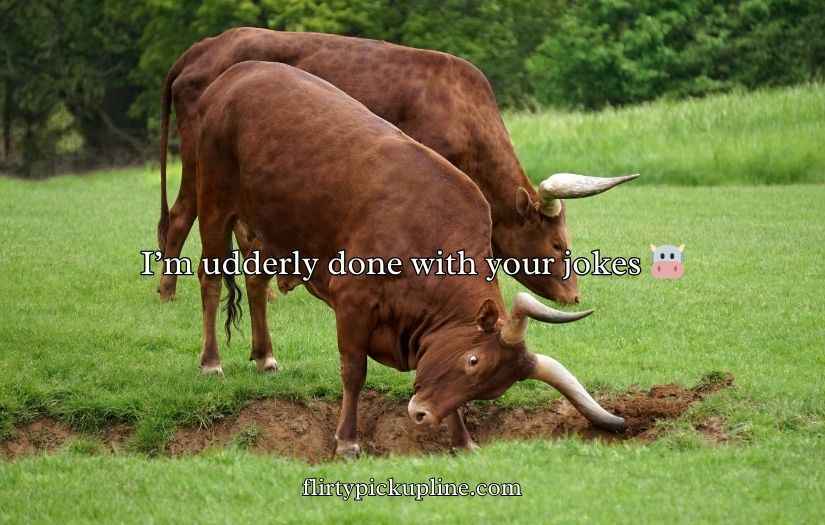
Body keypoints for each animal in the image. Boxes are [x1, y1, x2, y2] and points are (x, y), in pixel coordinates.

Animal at [158, 27, 637, 306]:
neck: (462, 111)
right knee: (180, 217)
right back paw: (167, 291)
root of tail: (203, 48)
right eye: (558, 245)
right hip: (203, 161)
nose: (573, 296)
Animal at [194, 61, 625, 457]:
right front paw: (347, 441)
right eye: (472, 361)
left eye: (488, 388)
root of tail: (238, 73)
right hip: (213, 202)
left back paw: (264, 356)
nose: (421, 414)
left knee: (254, 280)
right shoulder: (353, 303)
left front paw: (462, 439)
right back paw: (211, 362)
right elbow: (354, 372)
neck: (424, 229)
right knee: (210, 279)